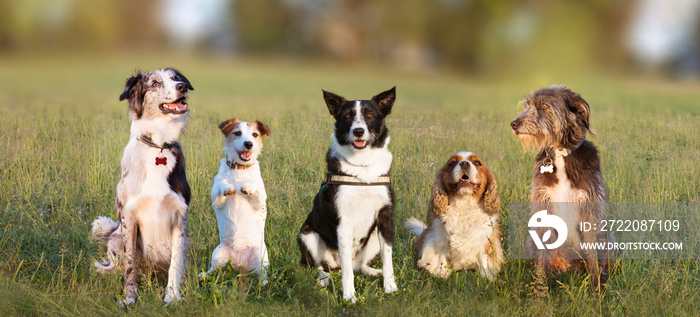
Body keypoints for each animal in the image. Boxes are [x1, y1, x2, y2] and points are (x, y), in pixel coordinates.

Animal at [91, 67, 194, 306]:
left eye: (176, 79)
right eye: (155, 83)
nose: (182, 87)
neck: (158, 145)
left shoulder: (180, 217)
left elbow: (175, 264)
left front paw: (172, 297)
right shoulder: (129, 217)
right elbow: (130, 266)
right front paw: (129, 298)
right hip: (116, 237)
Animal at [512, 84, 616, 296]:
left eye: (544, 105)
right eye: (527, 105)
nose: (514, 124)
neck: (560, 155)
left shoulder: (590, 207)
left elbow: (594, 256)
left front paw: (598, 292)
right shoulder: (543, 203)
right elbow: (542, 259)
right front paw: (540, 293)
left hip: (610, 237)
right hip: (530, 240)